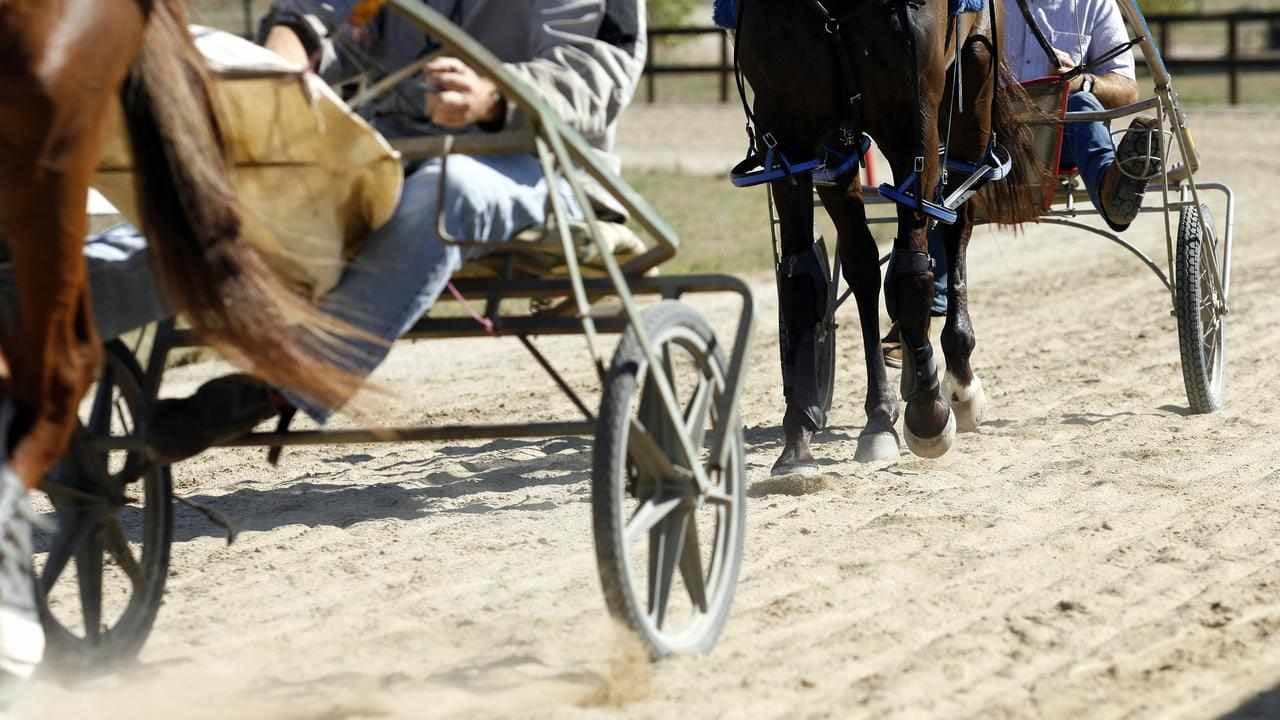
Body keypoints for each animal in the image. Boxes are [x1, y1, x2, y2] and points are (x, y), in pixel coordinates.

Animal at [730, 0, 1042, 473]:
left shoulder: (913, 115)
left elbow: (911, 271)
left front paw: (929, 412)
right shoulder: (787, 127)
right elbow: (803, 280)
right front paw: (799, 435)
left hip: (974, 78)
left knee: (956, 220)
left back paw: (956, 375)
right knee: (862, 262)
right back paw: (881, 411)